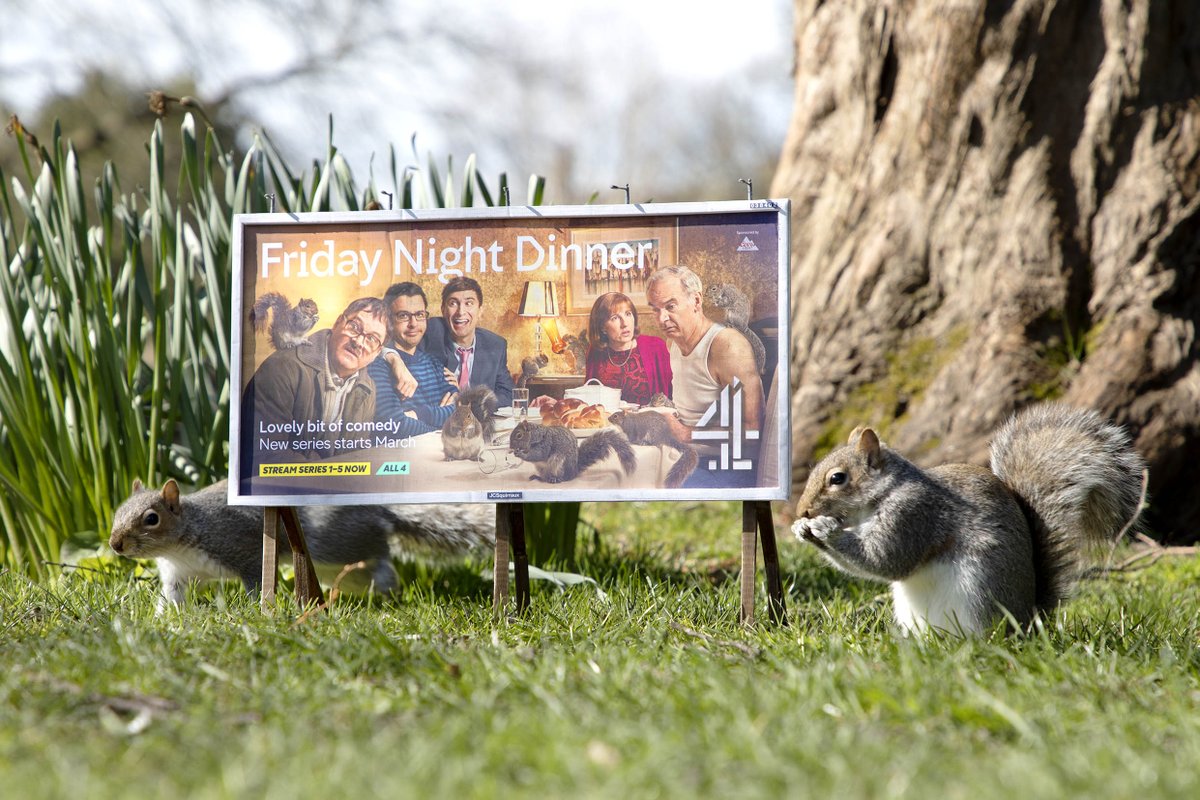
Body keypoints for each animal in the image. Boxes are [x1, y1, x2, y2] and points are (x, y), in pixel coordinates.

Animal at [109, 478, 495, 613]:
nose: (115, 544)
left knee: (382, 557)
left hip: (332, 543)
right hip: (332, 566)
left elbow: (255, 582)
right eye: (117, 512)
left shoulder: (241, 548)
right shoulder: (177, 574)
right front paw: (164, 620)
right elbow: (171, 599)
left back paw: (389, 591)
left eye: (151, 518)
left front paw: (256, 611)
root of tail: (378, 509)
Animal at [508, 420, 636, 483]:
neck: (536, 436)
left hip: (558, 463)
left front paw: (520, 454)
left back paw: (555, 479)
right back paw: (539, 478)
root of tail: (574, 471)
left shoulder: (546, 444)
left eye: (519, 435)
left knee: (564, 478)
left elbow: (537, 455)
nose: (510, 446)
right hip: (542, 468)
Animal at [792, 403, 1146, 636]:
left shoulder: (914, 514)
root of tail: (1028, 622)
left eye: (837, 478)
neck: (885, 493)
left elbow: (887, 559)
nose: (802, 511)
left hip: (978, 594)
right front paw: (802, 530)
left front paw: (825, 530)